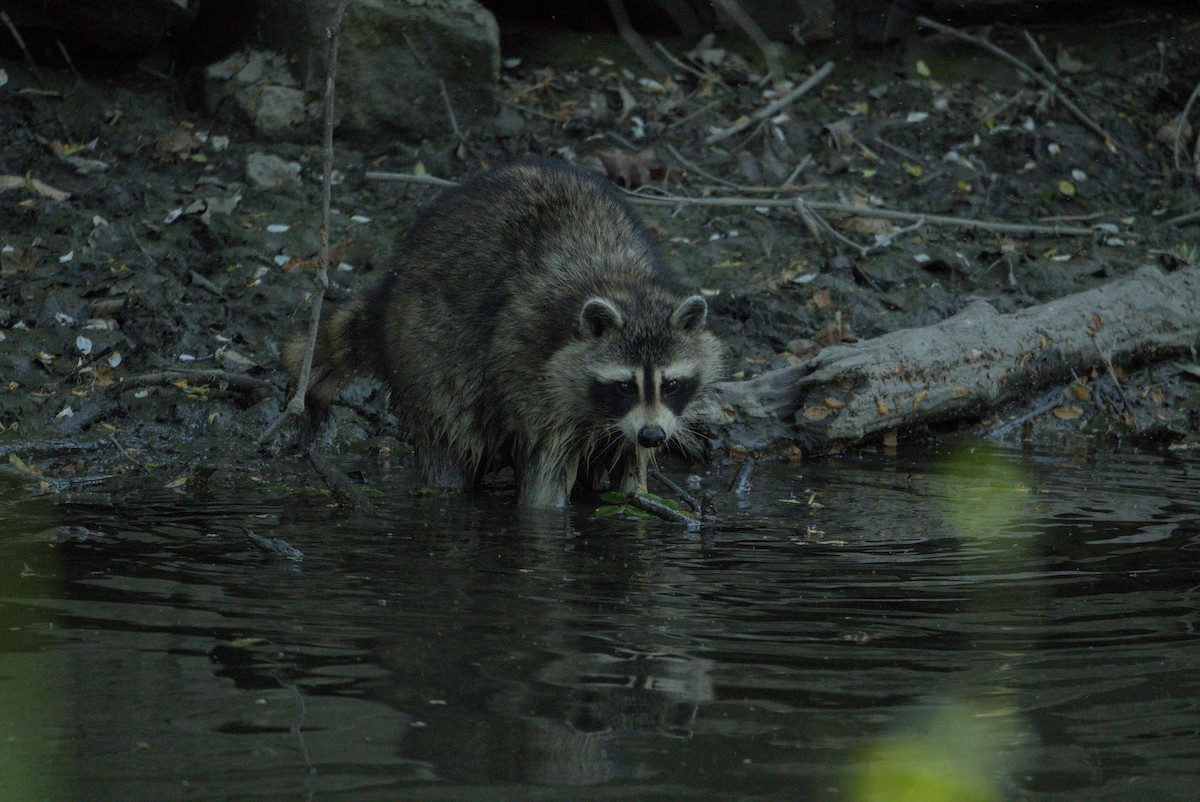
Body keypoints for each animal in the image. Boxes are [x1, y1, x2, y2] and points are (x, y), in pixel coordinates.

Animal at [285, 158, 724, 508]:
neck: (621, 285)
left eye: (671, 384)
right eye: (623, 386)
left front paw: (637, 492)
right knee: (452, 430)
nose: (652, 435)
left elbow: (629, 465)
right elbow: (544, 476)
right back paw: (445, 484)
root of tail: (393, 289)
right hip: (426, 347)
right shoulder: (530, 370)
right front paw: (545, 510)